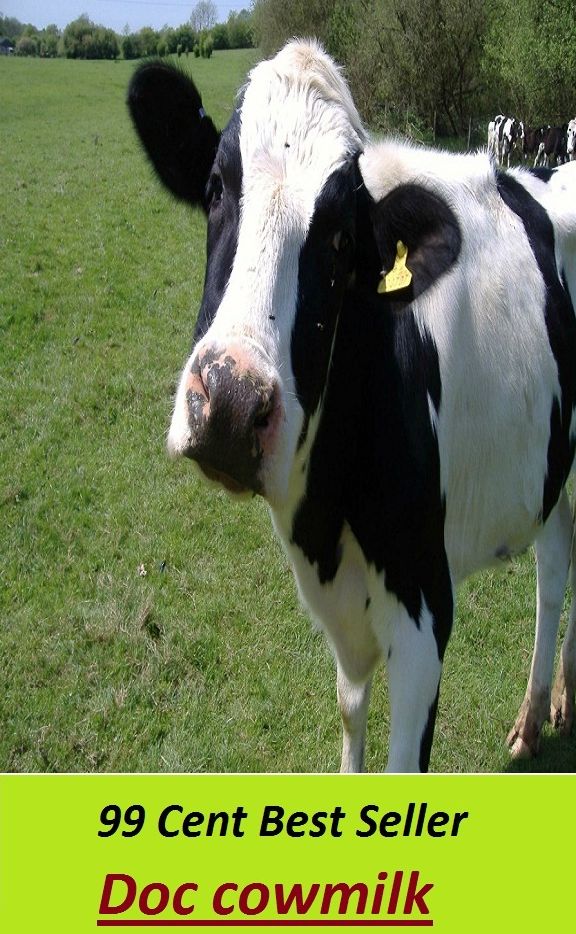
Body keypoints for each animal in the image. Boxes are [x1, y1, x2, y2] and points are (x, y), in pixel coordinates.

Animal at [128, 41, 576, 772]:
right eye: (217, 187)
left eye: (341, 238)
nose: (230, 404)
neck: (323, 518)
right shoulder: (340, 613)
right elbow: (349, 709)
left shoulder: (425, 604)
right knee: (556, 558)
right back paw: (537, 715)